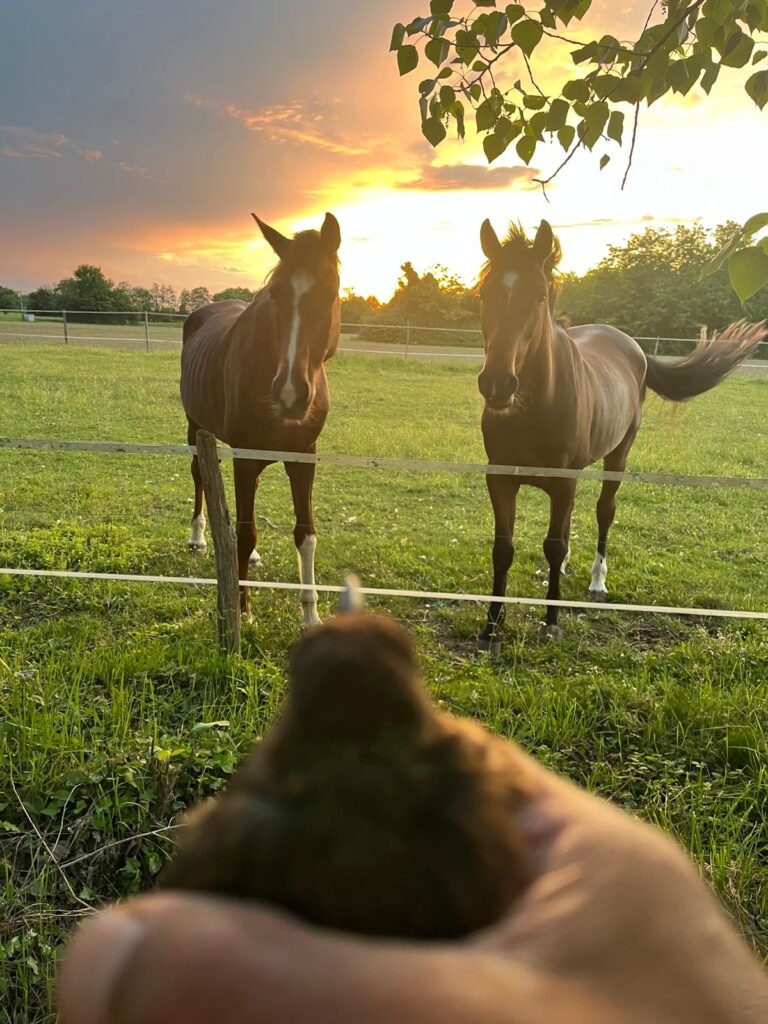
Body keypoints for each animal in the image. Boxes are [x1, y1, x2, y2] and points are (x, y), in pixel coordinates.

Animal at [180, 212, 342, 626]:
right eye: (276, 294)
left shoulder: (304, 457)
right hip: (196, 428)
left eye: (330, 293)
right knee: (199, 476)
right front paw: (242, 608)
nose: (290, 394)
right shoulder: (245, 458)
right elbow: (245, 530)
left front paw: (310, 616)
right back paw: (198, 538)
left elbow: (306, 534)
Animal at [475, 217, 766, 651]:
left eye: (539, 295)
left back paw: (597, 582)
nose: (496, 384)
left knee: (604, 512)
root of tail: (634, 347)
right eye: (483, 293)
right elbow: (503, 549)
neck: (535, 403)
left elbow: (553, 544)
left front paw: (551, 622)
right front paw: (492, 628)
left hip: (618, 457)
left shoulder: (563, 481)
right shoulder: (500, 478)